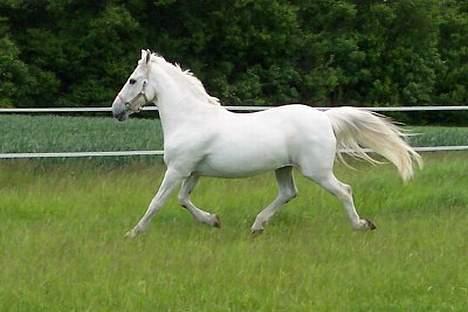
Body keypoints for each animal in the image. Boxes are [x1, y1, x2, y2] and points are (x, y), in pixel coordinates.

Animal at [111, 50, 422, 238]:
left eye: (133, 80)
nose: (116, 111)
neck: (190, 118)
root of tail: (324, 117)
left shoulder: (177, 170)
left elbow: (157, 201)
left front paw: (133, 233)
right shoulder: (193, 172)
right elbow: (183, 200)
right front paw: (213, 220)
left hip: (317, 171)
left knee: (343, 191)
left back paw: (362, 225)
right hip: (283, 168)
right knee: (288, 193)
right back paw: (257, 226)